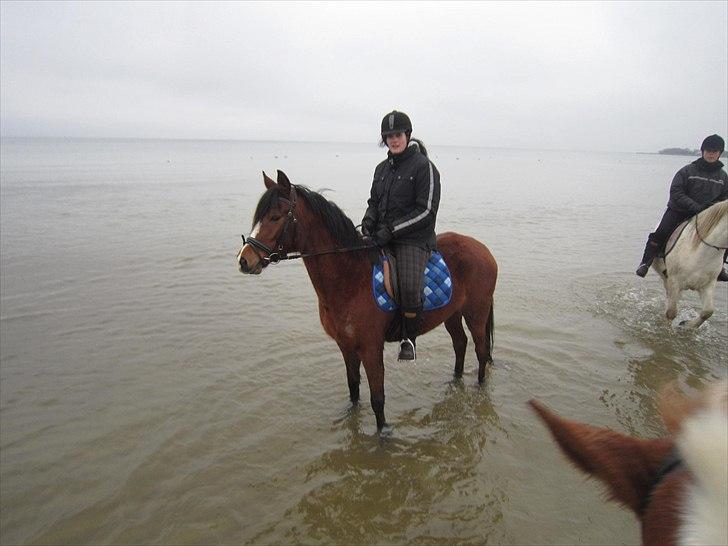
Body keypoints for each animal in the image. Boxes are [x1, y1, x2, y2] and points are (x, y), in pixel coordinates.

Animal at [236, 170, 498, 430]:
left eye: (275, 217)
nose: (244, 259)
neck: (350, 275)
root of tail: (483, 249)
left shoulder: (371, 348)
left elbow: (377, 399)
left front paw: (384, 434)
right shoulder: (346, 346)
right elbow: (353, 389)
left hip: (476, 314)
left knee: (481, 350)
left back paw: (480, 387)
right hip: (452, 314)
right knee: (460, 344)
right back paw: (455, 380)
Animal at [656, 200, 728, 328]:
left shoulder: (708, 284)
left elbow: (708, 312)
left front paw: (687, 325)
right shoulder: (674, 281)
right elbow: (671, 312)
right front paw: (668, 329)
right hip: (665, 276)